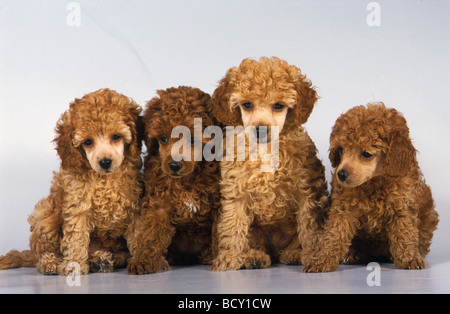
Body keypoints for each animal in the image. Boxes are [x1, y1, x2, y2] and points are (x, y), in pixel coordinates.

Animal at [0, 88, 142, 274]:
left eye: (116, 137)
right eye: (88, 142)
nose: (105, 162)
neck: (104, 180)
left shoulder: (134, 207)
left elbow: (138, 237)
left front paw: (141, 259)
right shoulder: (77, 207)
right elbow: (76, 238)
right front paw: (73, 264)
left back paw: (101, 259)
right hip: (46, 220)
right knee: (40, 255)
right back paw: (51, 263)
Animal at [127, 86, 221, 274]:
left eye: (192, 139)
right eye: (163, 138)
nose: (174, 165)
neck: (187, 180)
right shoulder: (158, 205)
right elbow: (150, 234)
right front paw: (143, 261)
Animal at [209, 55, 328, 270]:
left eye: (278, 106)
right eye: (247, 105)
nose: (261, 129)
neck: (265, 150)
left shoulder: (307, 191)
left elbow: (309, 229)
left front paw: (313, 255)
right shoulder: (236, 191)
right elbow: (233, 226)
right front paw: (229, 257)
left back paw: (294, 253)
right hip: (256, 232)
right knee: (253, 239)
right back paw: (254, 256)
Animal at [302, 103, 440, 272]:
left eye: (367, 154)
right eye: (341, 150)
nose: (341, 174)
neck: (374, 182)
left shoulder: (403, 204)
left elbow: (404, 232)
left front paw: (410, 258)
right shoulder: (343, 207)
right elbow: (335, 233)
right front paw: (322, 259)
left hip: (428, 213)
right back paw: (353, 254)